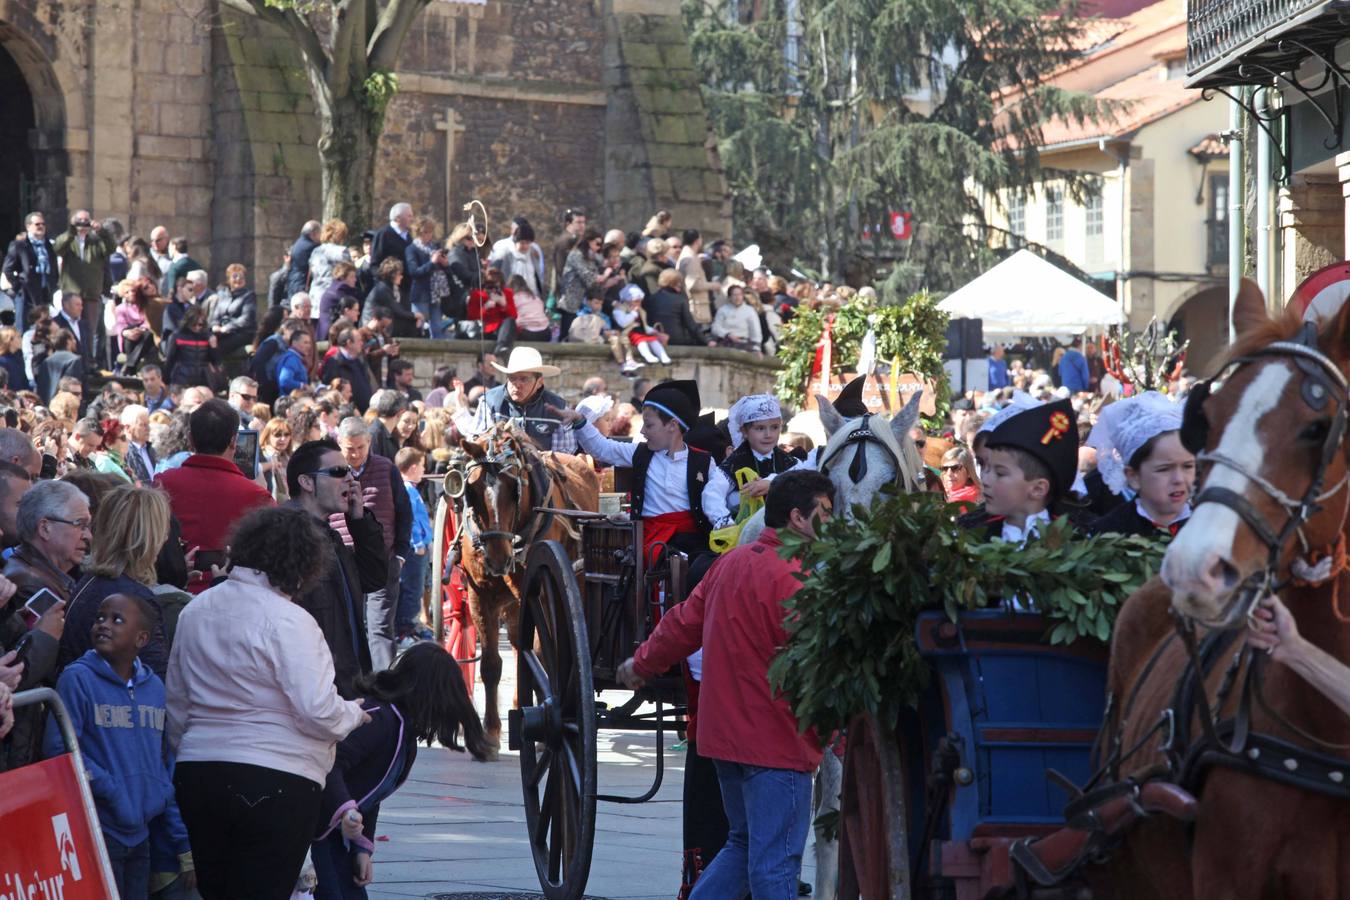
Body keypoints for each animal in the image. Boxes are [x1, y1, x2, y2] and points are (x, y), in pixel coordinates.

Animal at [456, 423, 599, 755]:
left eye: (514, 488)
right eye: (471, 491)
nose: (498, 557)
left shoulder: (536, 592)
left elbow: (535, 653)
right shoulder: (480, 595)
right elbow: (492, 664)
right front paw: (489, 734)